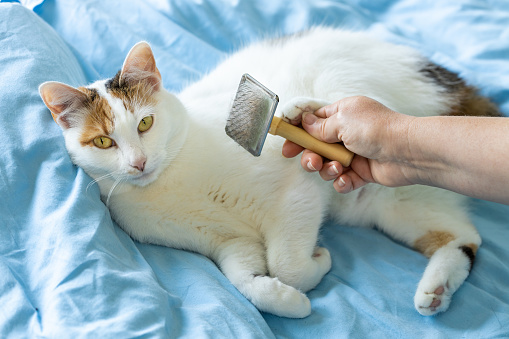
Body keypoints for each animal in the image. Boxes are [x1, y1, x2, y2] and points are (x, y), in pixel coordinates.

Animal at [37, 27, 498, 318]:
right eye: (103, 142)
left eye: (145, 123)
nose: (138, 163)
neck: (170, 182)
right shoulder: (228, 242)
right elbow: (245, 279)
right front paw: (286, 300)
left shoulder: (299, 192)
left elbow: (285, 262)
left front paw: (315, 266)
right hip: (395, 203)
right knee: (465, 238)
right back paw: (436, 291)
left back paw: (301, 110)